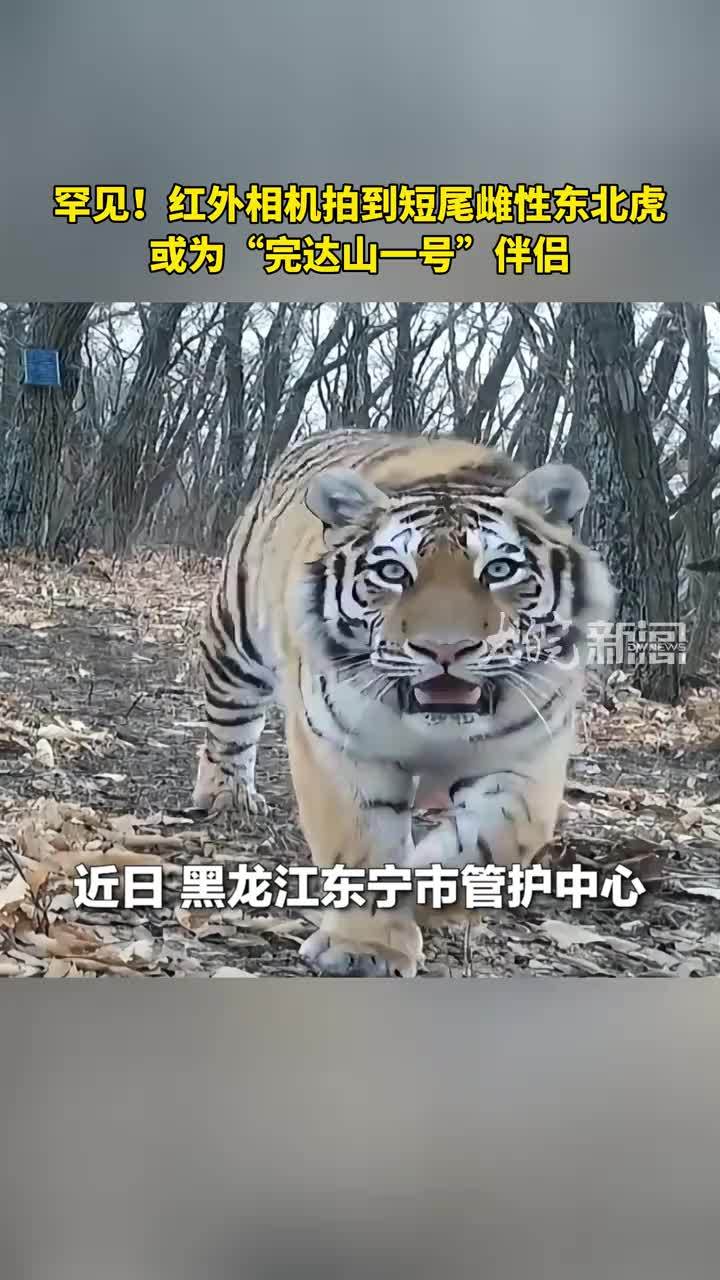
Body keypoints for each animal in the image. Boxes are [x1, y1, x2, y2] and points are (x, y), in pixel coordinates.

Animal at [192, 428, 614, 977]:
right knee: (228, 726)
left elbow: (496, 841)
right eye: (393, 572)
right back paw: (228, 796)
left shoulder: (527, 756)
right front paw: (363, 949)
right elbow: (361, 847)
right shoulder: (343, 748)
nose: (445, 649)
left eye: (500, 569)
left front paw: (426, 893)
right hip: (236, 640)